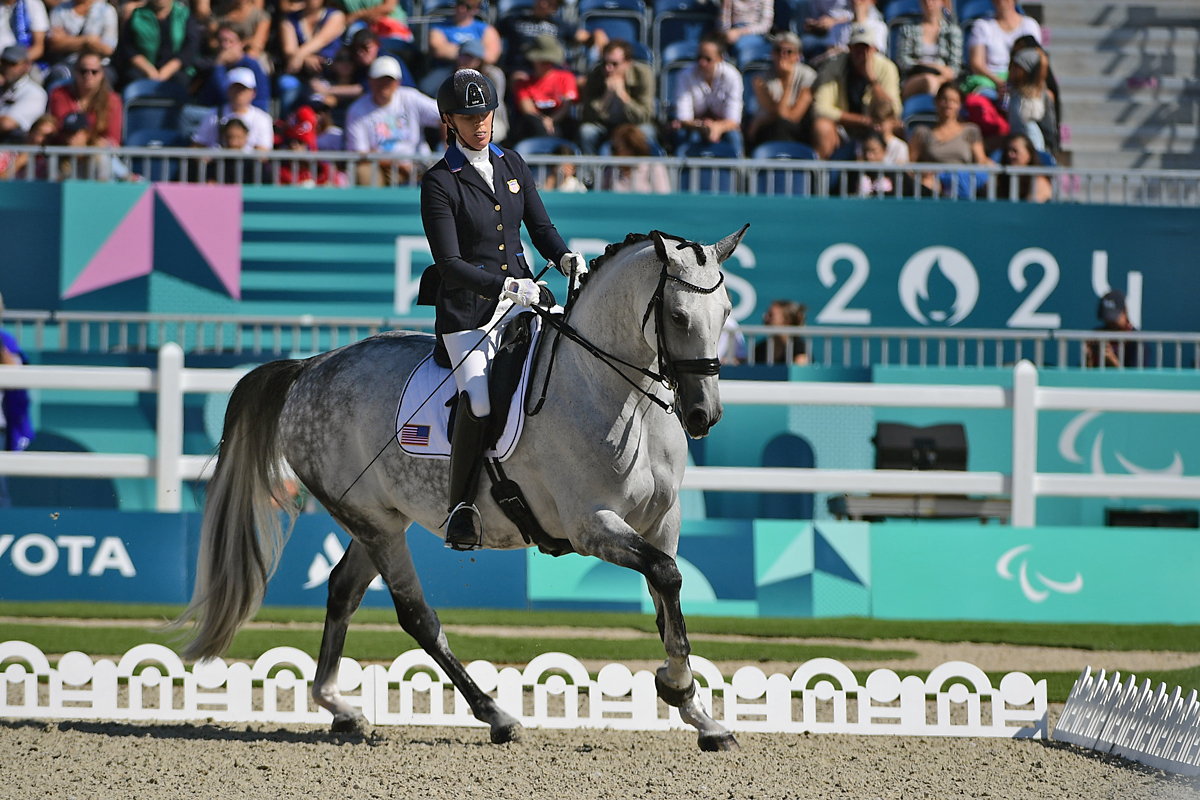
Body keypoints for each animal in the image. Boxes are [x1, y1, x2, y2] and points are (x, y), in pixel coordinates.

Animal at [174, 225, 744, 753]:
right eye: (677, 317)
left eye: (726, 312)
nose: (704, 415)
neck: (619, 395)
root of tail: (309, 368)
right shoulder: (591, 526)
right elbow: (666, 576)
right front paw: (677, 688)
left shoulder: (662, 521)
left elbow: (666, 597)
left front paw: (701, 716)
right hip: (374, 523)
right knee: (416, 616)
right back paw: (496, 715)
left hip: (379, 519)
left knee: (342, 589)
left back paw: (339, 706)